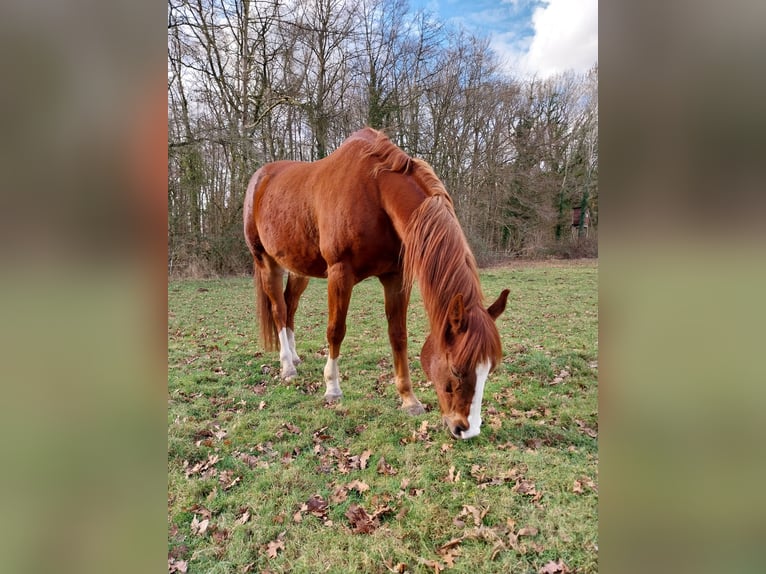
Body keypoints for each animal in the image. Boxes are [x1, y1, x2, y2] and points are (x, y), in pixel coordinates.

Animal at [243, 127, 509, 439]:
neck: (376, 192)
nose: (467, 430)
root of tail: (259, 178)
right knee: (278, 310)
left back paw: (295, 358)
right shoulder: (340, 273)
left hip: (299, 269)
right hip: (267, 262)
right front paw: (332, 388)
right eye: (456, 369)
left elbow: (398, 335)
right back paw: (287, 366)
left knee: (290, 307)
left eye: (488, 369)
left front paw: (409, 400)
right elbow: (336, 331)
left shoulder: (396, 277)